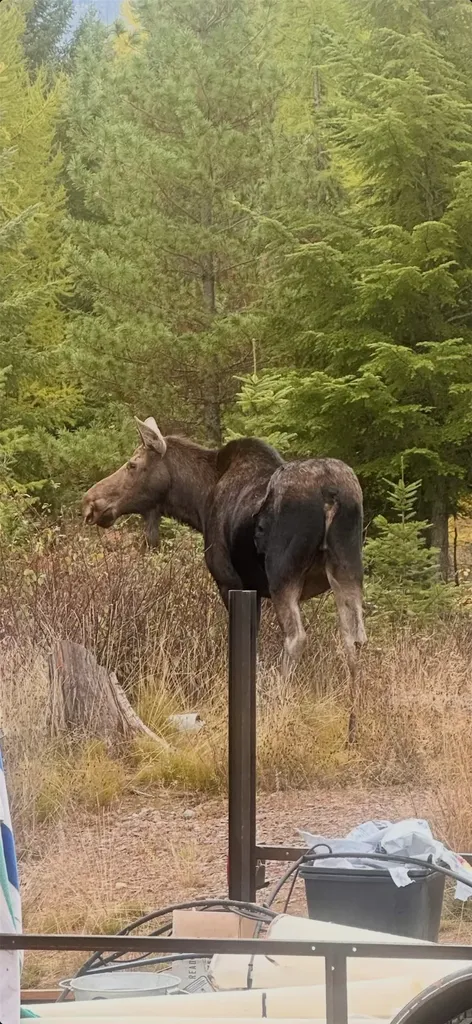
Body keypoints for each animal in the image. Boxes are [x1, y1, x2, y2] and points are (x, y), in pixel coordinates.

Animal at [83, 416, 366, 738]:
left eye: (132, 464)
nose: (91, 502)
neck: (198, 502)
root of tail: (331, 493)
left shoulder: (230, 582)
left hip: (283, 574)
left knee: (296, 638)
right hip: (348, 567)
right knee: (354, 639)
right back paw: (352, 730)